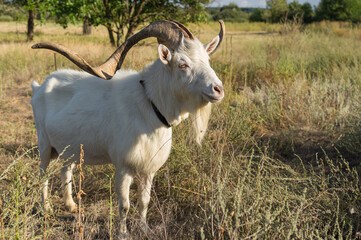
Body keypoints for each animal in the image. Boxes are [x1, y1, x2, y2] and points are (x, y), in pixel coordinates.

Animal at [31, 20, 224, 236]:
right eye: (183, 64)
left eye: (207, 59)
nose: (218, 89)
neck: (149, 104)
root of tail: (39, 87)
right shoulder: (123, 168)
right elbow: (124, 205)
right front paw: (122, 233)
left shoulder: (148, 170)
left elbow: (144, 201)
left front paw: (144, 228)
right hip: (44, 144)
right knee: (43, 174)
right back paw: (46, 208)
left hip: (70, 147)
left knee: (66, 170)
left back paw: (71, 205)